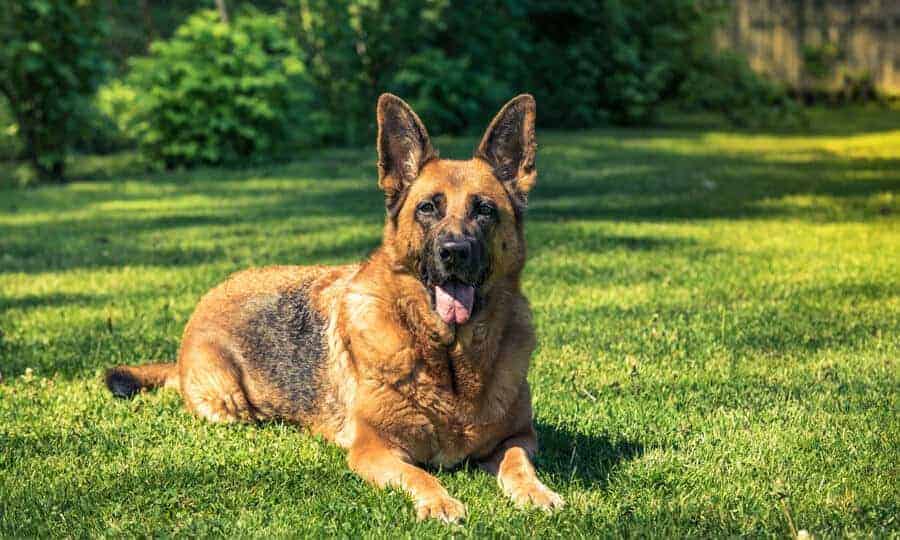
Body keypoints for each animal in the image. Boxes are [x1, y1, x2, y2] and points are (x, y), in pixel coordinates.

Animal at [105, 94, 564, 524]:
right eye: (427, 208)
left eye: (484, 210)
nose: (454, 253)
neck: (450, 362)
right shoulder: (374, 448)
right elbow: (419, 475)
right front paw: (438, 501)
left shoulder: (520, 437)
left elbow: (517, 464)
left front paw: (537, 492)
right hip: (229, 404)